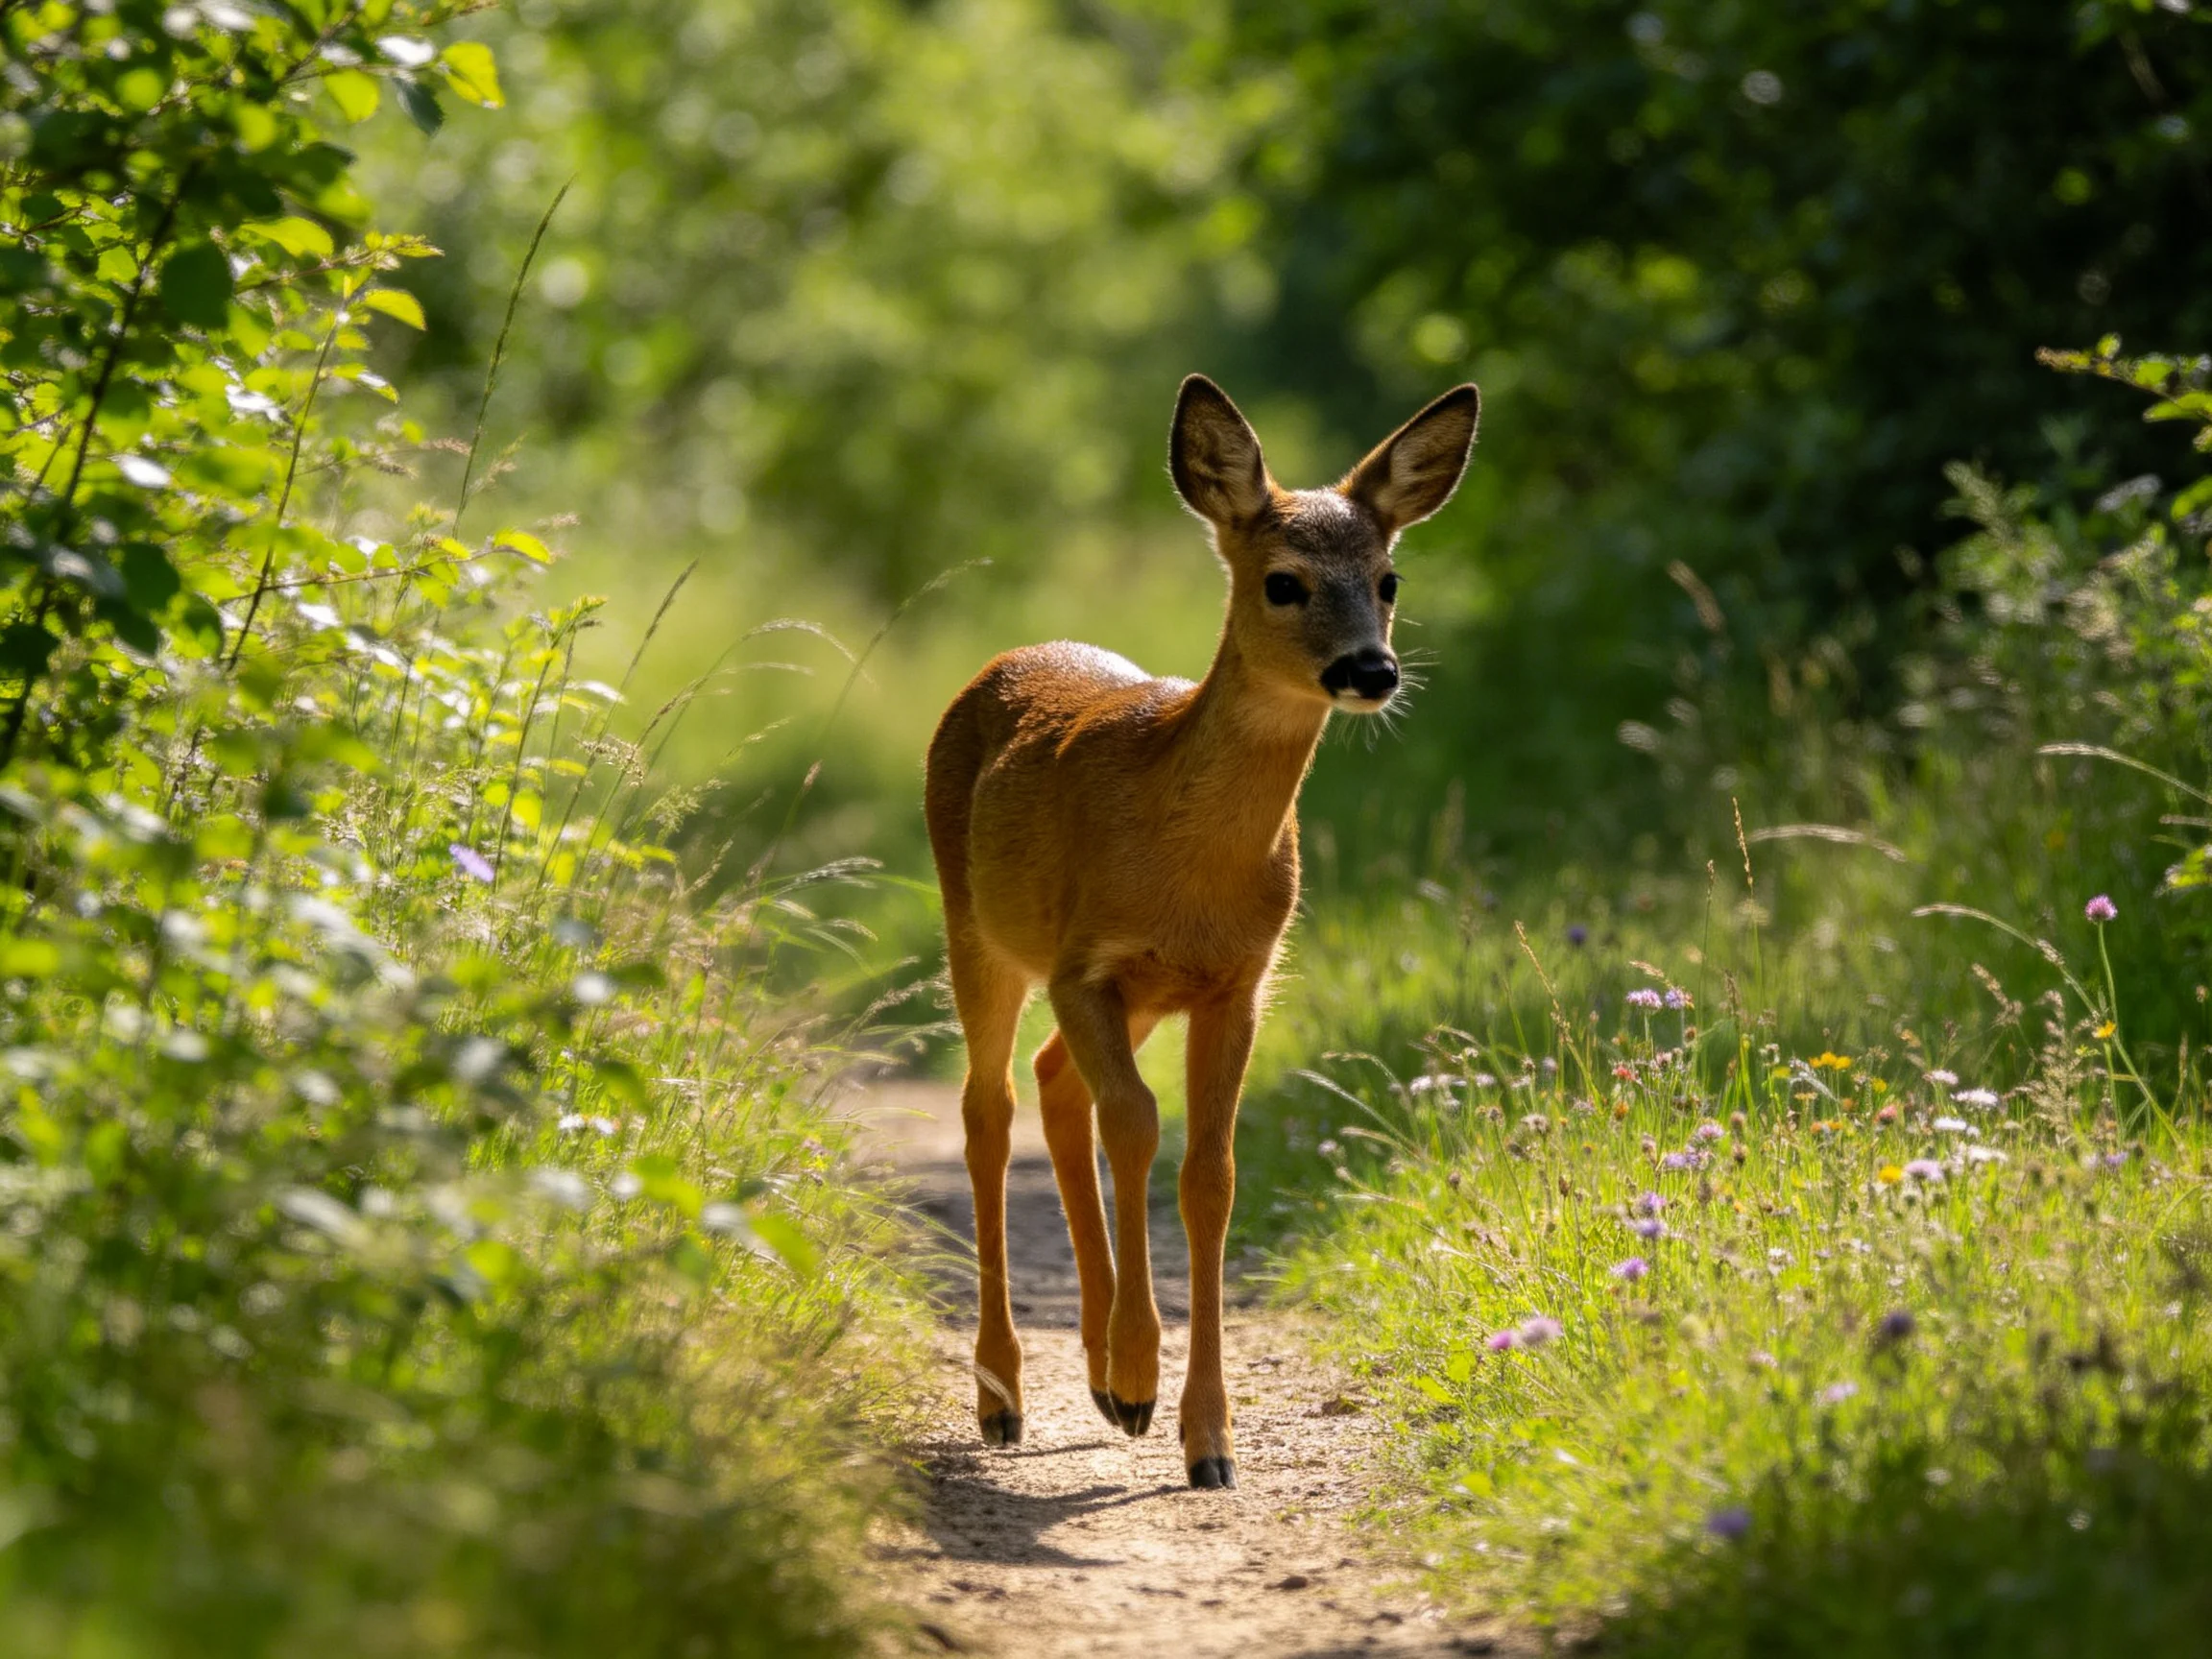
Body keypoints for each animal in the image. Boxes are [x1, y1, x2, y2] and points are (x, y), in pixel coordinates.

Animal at [923, 374, 1479, 1489]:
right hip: (981, 933)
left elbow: (1208, 1172)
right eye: (1283, 582)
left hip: (1123, 994)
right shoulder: (1086, 965)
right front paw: (1141, 1377)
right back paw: (1005, 1397)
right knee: (988, 1109)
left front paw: (1203, 1436)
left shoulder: (1237, 982)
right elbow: (1138, 1126)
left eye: (1389, 579)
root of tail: (1006, 657)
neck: (1187, 866)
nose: (1372, 671)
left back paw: (1092, 1371)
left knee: (1053, 1083)